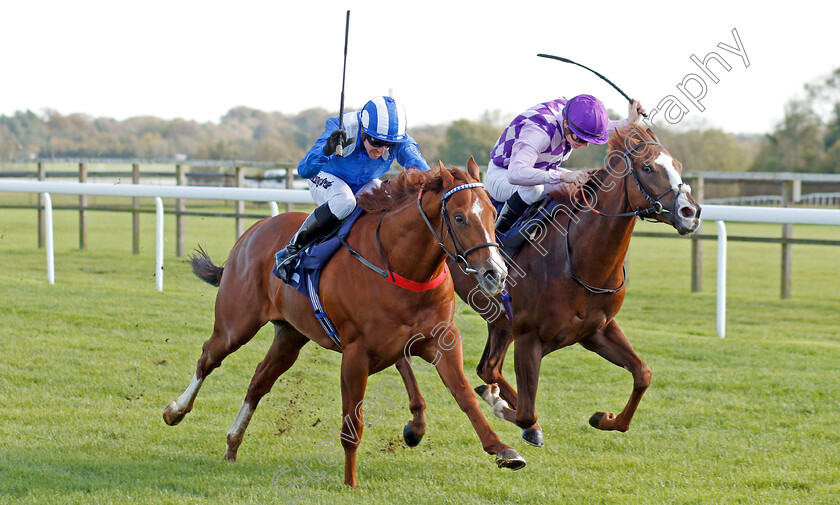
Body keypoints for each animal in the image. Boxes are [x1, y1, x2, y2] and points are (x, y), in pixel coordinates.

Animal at [163, 159, 524, 486]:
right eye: (460, 218)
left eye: (492, 215)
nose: (495, 273)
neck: (401, 266)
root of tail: (252, 231)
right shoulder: (356, 354)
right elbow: (353, 421)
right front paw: (350, 482)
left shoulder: (438, 341)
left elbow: (464, 394)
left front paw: (503, 449)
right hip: (236, 323)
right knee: (208, 357)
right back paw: (175, 411)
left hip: (289, 336)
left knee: (259, 382)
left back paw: (232, 444)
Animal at [398, 126, 700, 444]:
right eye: (647, 167)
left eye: (678, 165)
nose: (690, 212)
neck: (578, 259)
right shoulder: (529, 337)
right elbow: (526, 414)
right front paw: (505, 410)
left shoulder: (597, 330)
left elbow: (643, 373)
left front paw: (605, 418)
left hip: (500, 321)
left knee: (488, 368)